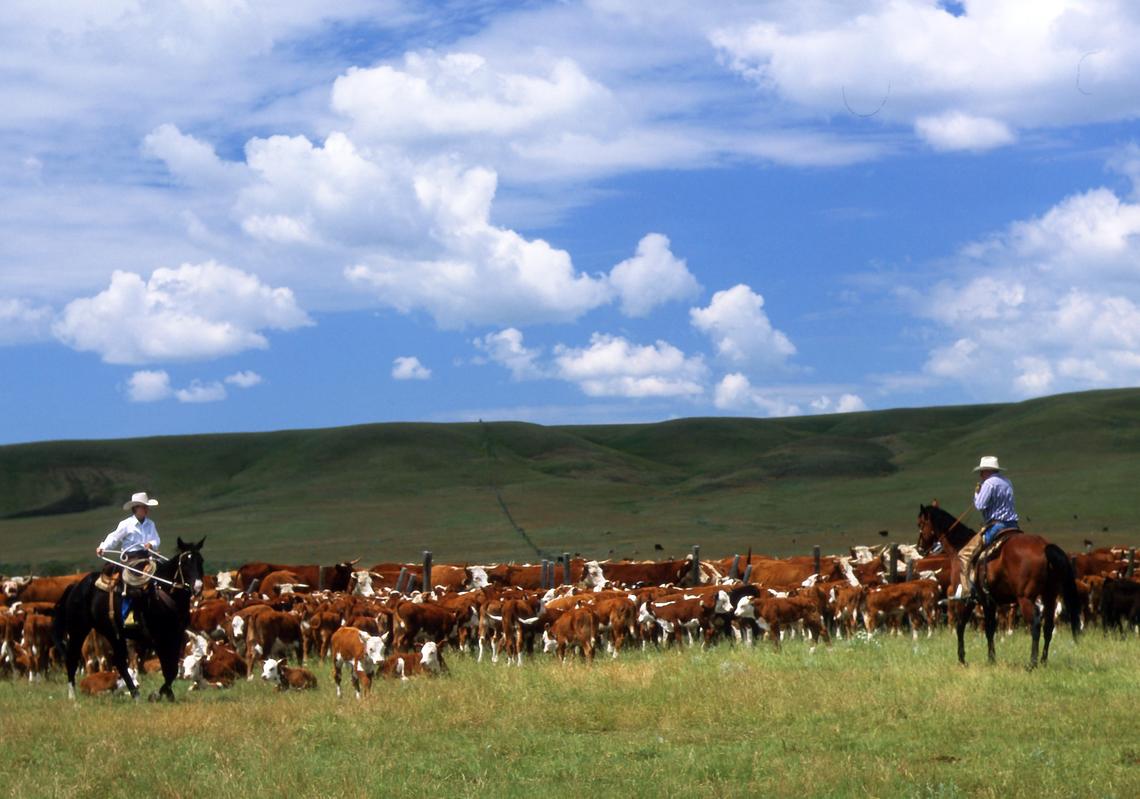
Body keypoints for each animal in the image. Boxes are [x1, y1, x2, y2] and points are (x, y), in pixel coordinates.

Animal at [53, 535, 205, 697]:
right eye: (185, 563)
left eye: (200, 561)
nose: (198, 587)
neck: (164, 592)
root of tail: (75, 586)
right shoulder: (158, 638)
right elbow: (168, 668)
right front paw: (158, 695)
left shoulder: (176, 636)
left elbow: (173, 668)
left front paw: (167, 694)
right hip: (78, 630)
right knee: (72, 659)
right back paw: (72, 697)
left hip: (113, 633)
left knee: (119, 663)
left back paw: (135, 693)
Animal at [916, 503, 1076, 665]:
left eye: (920, 524)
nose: (919, 548)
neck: (959, 548)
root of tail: (1045, 547)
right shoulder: (989, 601)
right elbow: (990, 629)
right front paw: (991, 658)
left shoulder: (966, 600)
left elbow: (962, 626)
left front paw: (963, 659)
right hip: (1050, 595)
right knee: (1048, 626)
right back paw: (1043, 661)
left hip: (1026, 599)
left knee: (1035, 626)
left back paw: (1031, 664)